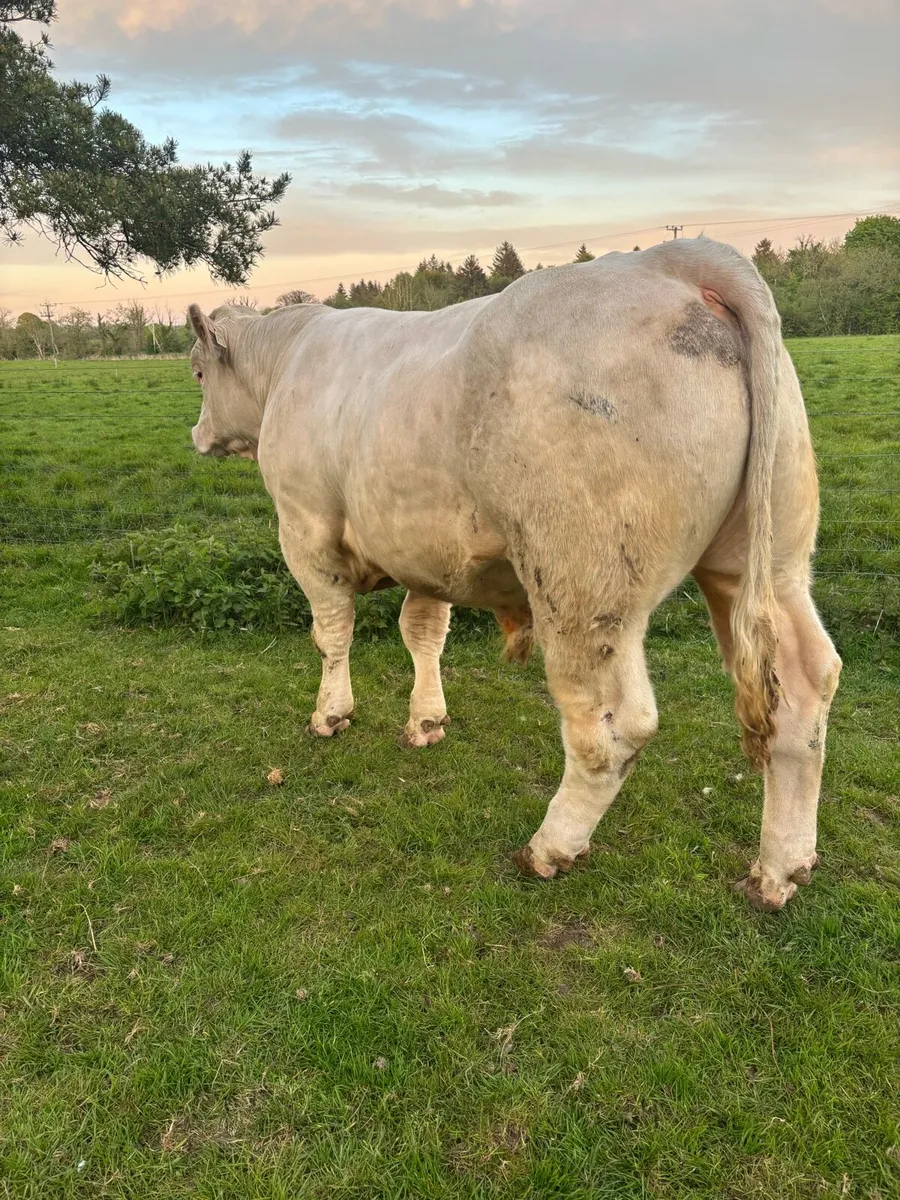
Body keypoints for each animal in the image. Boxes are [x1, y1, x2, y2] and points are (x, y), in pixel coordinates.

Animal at [187, 237, 840, 911]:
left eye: (198, 372)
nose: (197, 434)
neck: (289, 360)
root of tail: (674, 259)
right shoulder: (425, 551)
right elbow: (423, 632)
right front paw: (426, 720)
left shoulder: (306, 529)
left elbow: (332, 633)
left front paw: (330, 715)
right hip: (768, 565)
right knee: (805, 690)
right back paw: (781, 869)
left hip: (584, 588)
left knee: (612, 727)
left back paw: (550, 847)